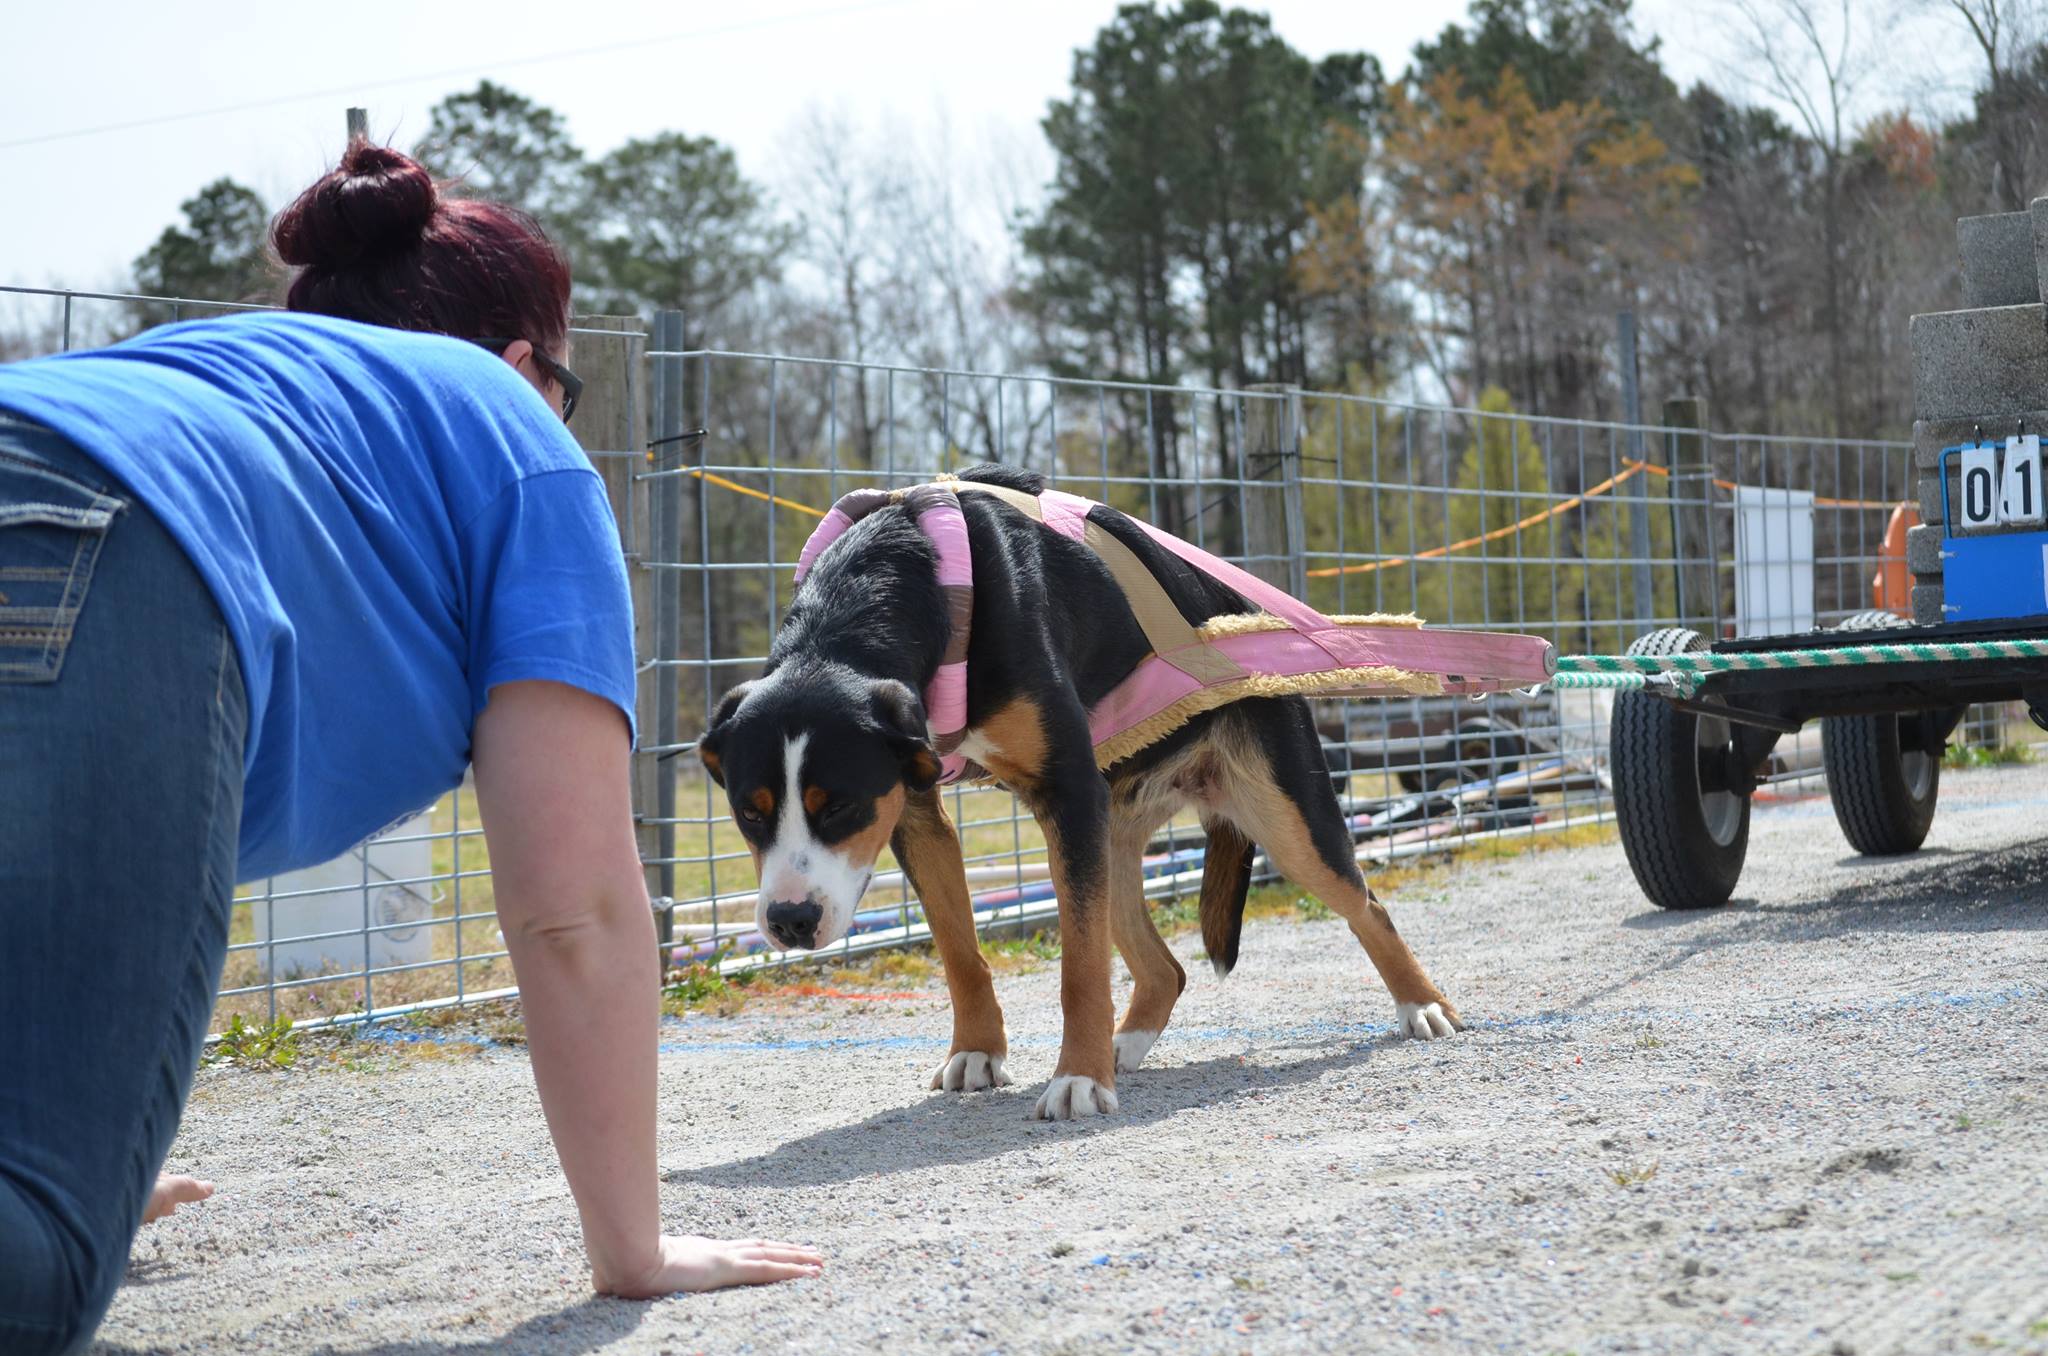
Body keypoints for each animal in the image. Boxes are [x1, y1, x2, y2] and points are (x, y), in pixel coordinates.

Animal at [700, 467, 1540, 1122]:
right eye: (748, 812)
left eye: (839, 804)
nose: (790, 921)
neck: (905, 579)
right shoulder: (916, 807)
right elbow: (959, 948)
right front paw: (979, 1050)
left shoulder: (1064, 793)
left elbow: (1079, 967)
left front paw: (1077, 1077)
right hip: (1107, 834)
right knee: (1163, 967)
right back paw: (1126, 1043)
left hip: (1281, 816)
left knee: (1365, 904)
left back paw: (1421, 1005)